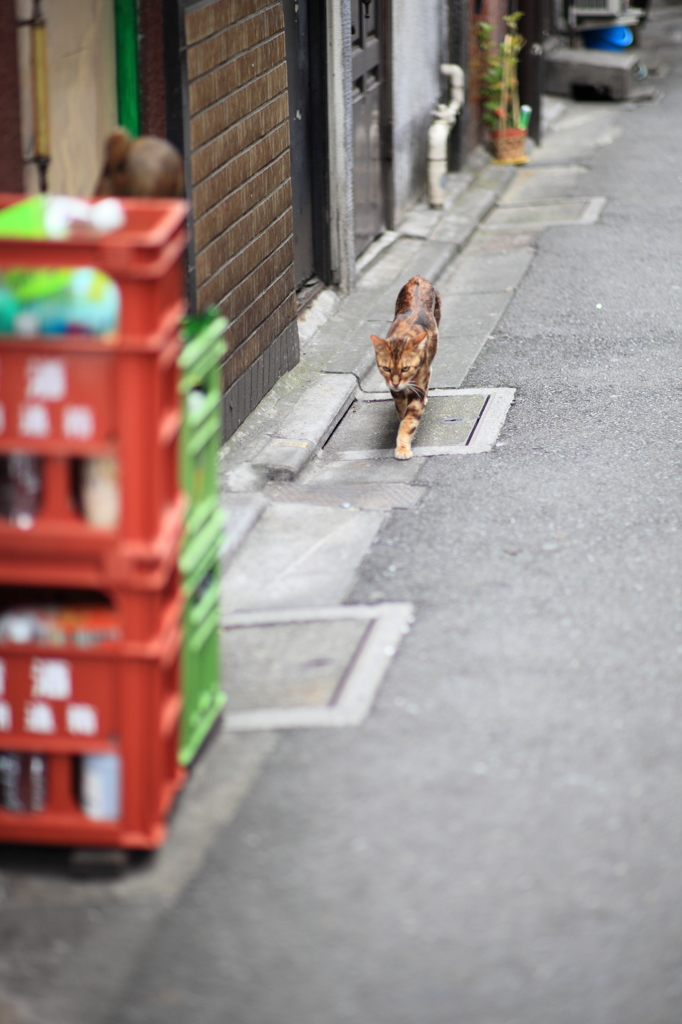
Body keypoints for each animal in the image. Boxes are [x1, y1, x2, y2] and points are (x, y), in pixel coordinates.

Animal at [368, 276, 438, 460]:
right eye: (386, 368)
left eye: (406, 368)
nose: (395, 383)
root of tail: (418, 278)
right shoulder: (397, 393)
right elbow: (401, 411)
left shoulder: (417, 390)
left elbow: (409, 422)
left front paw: (402, 448)